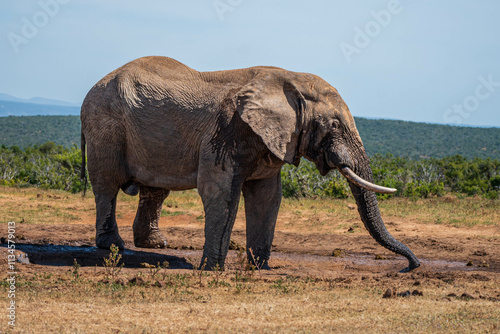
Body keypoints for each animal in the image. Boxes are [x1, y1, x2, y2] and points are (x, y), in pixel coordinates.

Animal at [80, 56, 420, 272]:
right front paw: (213, 269)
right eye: (334, 125)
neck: (289, 79)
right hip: (105, 126)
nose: (412, 265)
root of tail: (90, 89)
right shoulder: (227, 129)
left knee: (155, 189)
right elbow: (220, 191)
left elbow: (267, 197)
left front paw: (260, 267)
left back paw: (156, 244)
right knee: (107, 185)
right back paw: (112, 247)